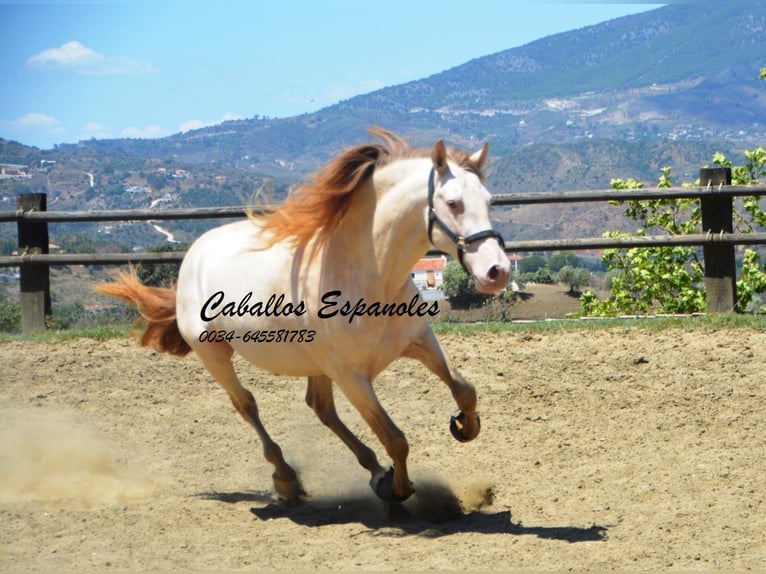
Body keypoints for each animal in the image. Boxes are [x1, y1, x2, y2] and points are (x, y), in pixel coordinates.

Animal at [97, 127, 510, 504]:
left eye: (489, 201)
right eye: (453, 203)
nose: (498, 271)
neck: (367, 273)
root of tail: (193, 255)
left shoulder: (418, 340)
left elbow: (464, 389)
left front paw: (464, 426)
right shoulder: (351, 377)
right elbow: (395, 438)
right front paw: (399, 490)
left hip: (315, 364)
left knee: (320, 408)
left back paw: (372, 470)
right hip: (215, 355)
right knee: (247, 404)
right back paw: (286, 478)